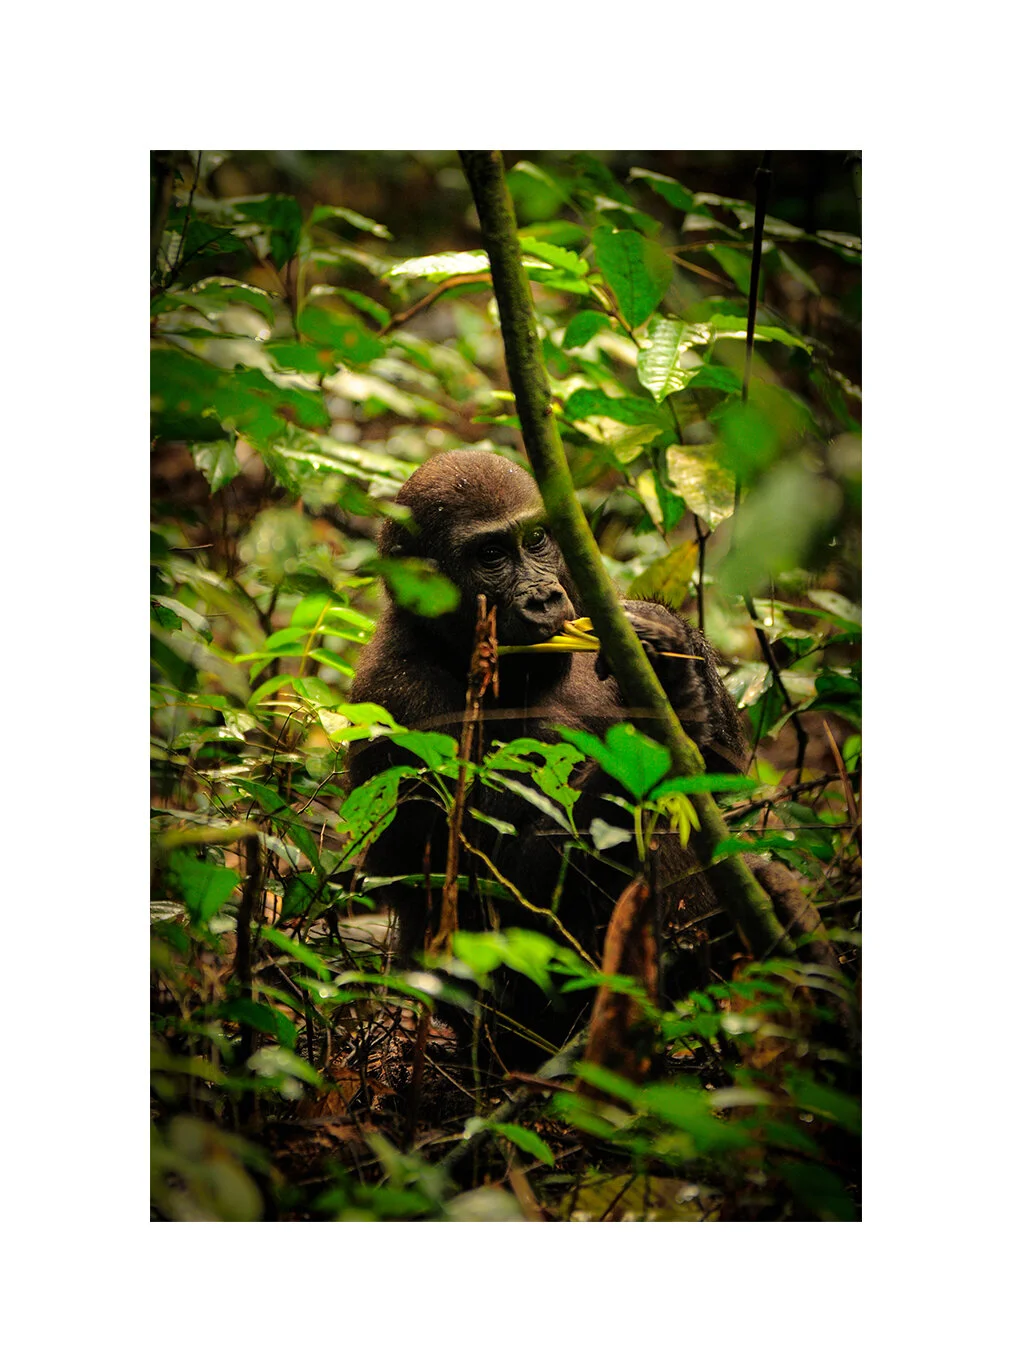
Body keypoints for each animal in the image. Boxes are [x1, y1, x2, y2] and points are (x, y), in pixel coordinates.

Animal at [346, 448, 752, 1049]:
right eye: (491, 555)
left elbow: (725, 774)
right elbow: (498, 885)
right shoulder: (401, 703)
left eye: (536, 539)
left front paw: (672, 651)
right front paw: (661, 724)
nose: (544, 597)